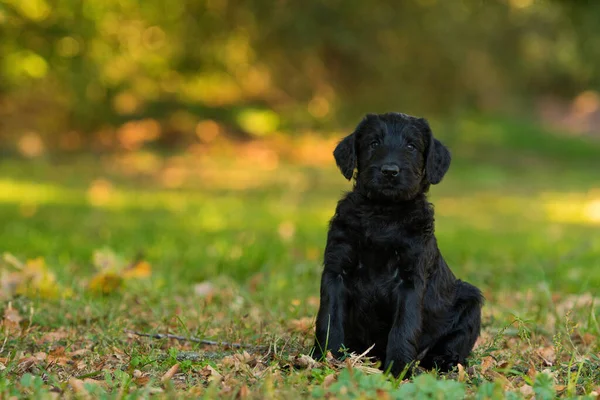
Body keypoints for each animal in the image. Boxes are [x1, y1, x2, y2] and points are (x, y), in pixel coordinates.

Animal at [314, 111, 482, 376]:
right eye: (373, 143)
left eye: (411, 146)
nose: (390, 171)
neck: (383, 213)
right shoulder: (336, 270)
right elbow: (329, 318)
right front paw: (326, 358)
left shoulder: (410, 278)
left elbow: (404, 326)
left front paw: (399, 369)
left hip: (470, 301)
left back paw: (444, 361)